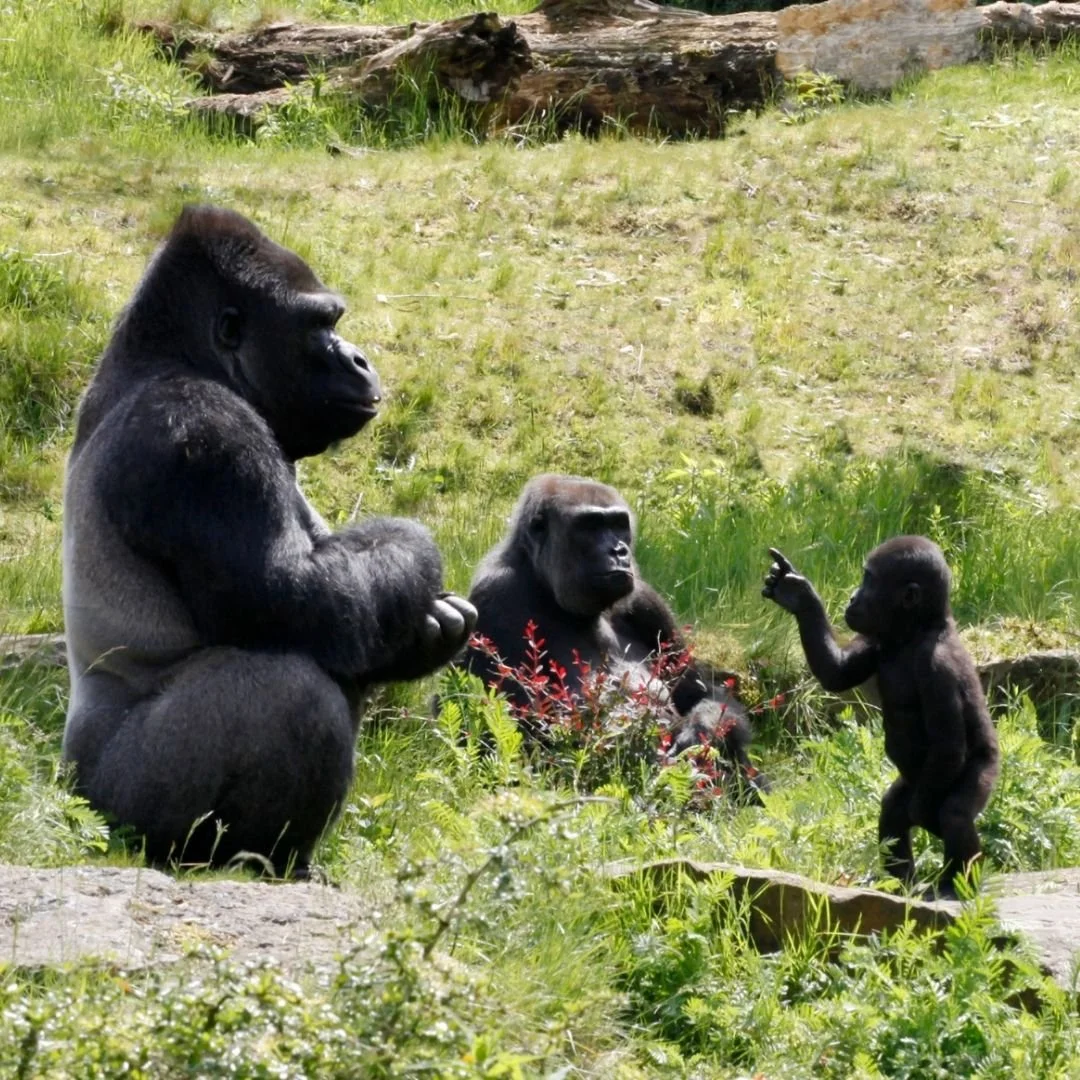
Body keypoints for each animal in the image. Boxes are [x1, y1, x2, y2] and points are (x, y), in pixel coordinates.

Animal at [62, 205, 476, 877]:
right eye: (319, 325)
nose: (358, 360)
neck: (167, 356)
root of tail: (71, 787)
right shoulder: (201, 433)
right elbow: (290, 597)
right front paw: (415, 545)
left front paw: (433, 630)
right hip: (112, 805)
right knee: (289, 690)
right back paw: (251, 858)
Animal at [465, 474, 764, 793]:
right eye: (591, 526)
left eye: (619, 524)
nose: (619, 551)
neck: (544, 584)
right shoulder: (496, 595)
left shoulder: (647, 601)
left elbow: (701, 692)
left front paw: (702, 728)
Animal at [763, 537, 999, 897]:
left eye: (869, 580)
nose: (852, 597)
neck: (916, 631)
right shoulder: (876, 637)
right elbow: (837, 673)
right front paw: (797, 595)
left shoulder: (938, 668)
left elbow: (948, 746)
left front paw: (925, 817)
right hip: (914, 782)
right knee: (893, 811)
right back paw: (901, 883)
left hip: (980, 770)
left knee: (955, 812)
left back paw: (955, 884)